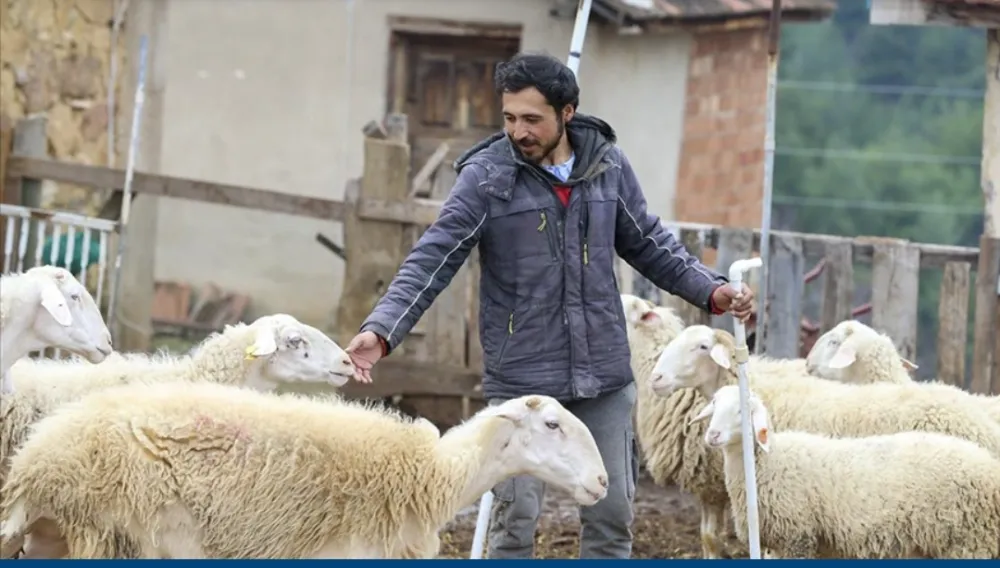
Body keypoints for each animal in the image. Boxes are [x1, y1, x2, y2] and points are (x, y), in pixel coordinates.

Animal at [0, 382, 608, 560]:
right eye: (552, 424)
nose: (603, 481)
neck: (430, 474)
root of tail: (36, 459)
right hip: (118, 535)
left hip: (57, 535)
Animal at [692, 382, 1000, 560]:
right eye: (714, 404)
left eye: (742, 410)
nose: (713, 435)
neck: (767, 464)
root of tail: (989, 467)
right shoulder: (780, 543)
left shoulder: (798, 538)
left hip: (969, 543)